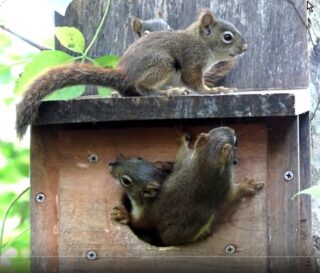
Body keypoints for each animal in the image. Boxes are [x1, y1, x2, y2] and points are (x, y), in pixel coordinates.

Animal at [15, 9, 246, 138]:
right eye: (227, 37)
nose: (245, 47)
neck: (202, 43)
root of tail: (124, 75)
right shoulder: (192, 61)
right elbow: (195, 83)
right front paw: (214, 90)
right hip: (163, 64)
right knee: (142, 88)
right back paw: (163, 92)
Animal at [109, 126, 264, 245]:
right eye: (236, 142)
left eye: (212, 130)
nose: (232, 129)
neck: (204, 161)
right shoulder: (221, 185)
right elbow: (231, 197)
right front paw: (246, 185)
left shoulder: (185, 161)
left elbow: (181, 155)